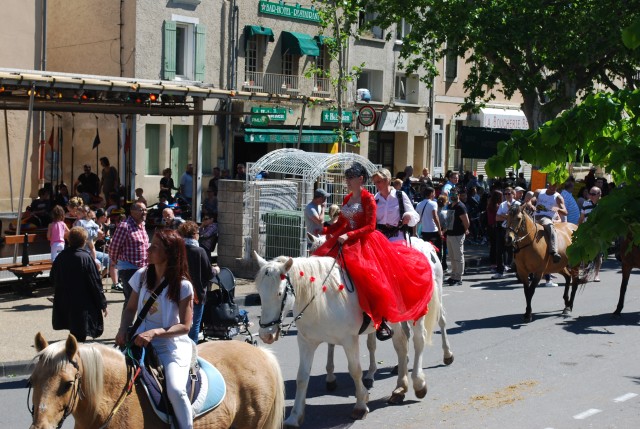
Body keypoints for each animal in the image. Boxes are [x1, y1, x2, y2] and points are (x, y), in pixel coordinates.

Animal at [254, 236, 450, 426]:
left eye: (280, 293)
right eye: (260, 293)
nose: (266, 334)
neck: (321, 296)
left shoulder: (349, 340)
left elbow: (355, 370)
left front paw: (361, 405)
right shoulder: (306, 342)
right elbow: (302, 377)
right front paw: (294, 417)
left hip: (417, 312)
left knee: (419, 341)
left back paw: (420, 382)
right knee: (401, 345)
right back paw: (399, 388)